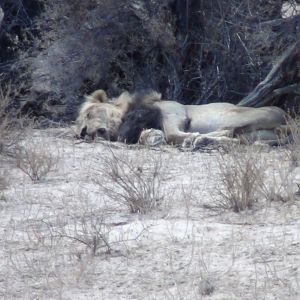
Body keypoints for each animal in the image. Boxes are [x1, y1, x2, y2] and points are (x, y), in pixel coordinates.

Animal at [75, 88, 290, 147]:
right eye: (81, 130)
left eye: (89, 114)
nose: (85, 133)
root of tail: (286, 116)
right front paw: (152, 137)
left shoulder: (175, 112)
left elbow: (172, 134)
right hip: (255, 135)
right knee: (238, 139)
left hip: (236, 116)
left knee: (229, 131)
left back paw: (198, 140)